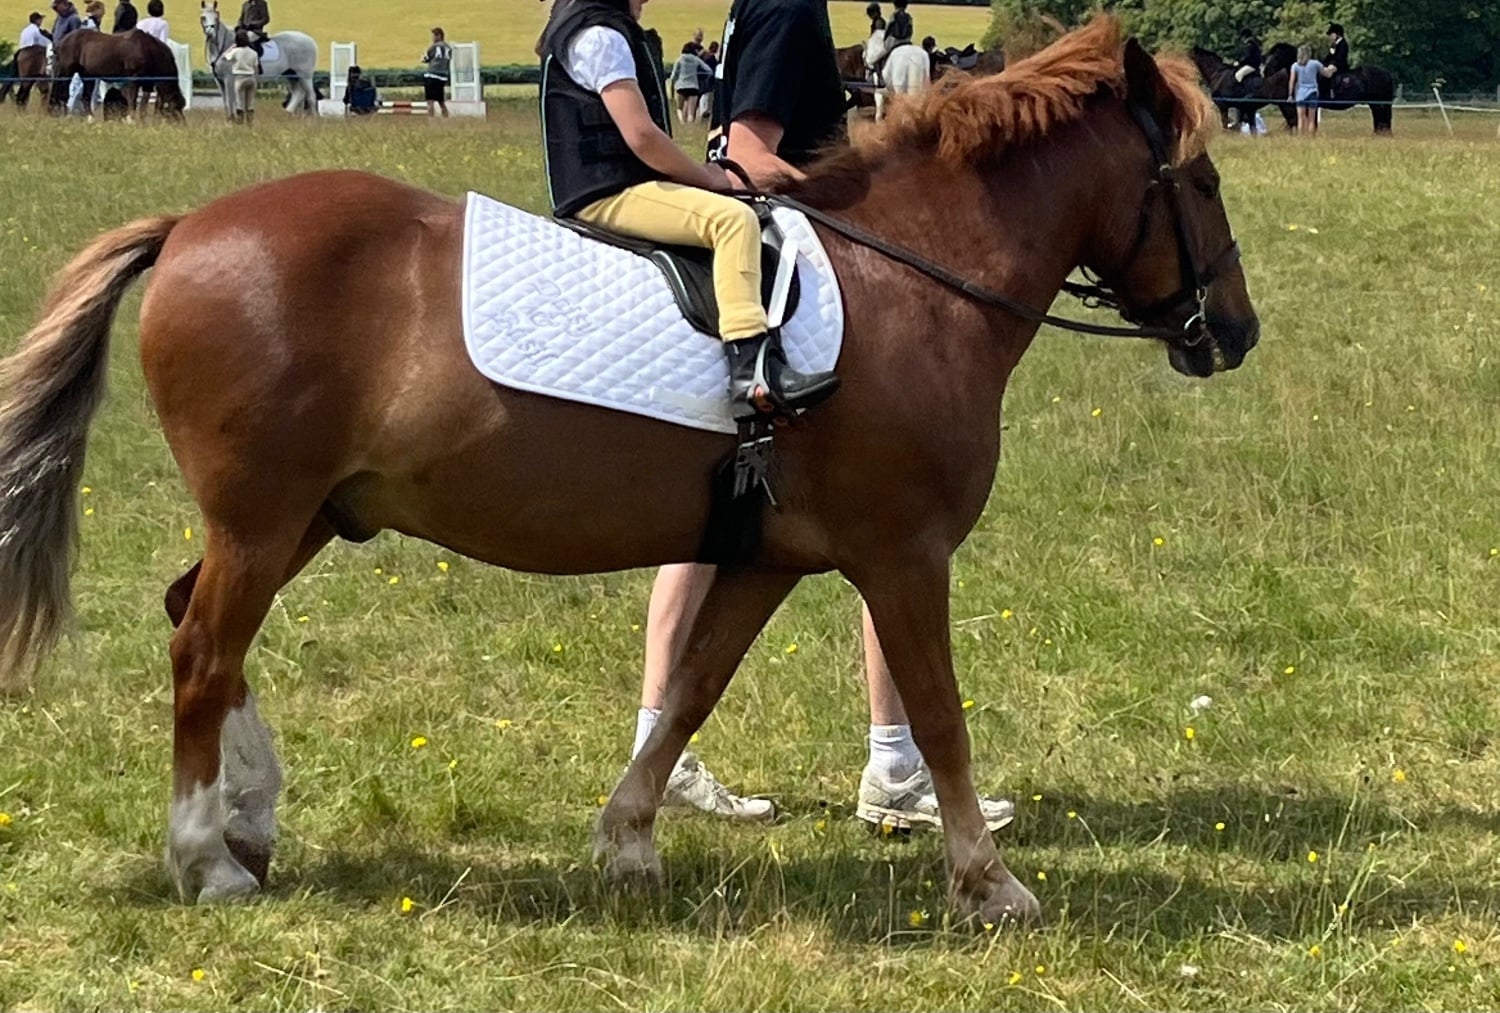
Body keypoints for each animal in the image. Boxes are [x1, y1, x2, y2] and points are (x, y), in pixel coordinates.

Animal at [47, 29, 186, 120]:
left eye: (181, 107)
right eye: (175, 109)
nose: (183, 127)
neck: (148, 50)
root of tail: (62, 41)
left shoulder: (148, 84)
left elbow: (144, 105)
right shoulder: (133, 80)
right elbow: (132, 101)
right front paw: (131, 120)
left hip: (87, 76)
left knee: (85, 97)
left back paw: (90, 119)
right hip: (66, 72)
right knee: (62, 94)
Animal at [1261, 42, 1394, 134]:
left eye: (1276, 55)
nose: (1265, 71)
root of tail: (1387, 73)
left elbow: (1311, 122)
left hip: (1379, 103)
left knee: (1382, 118)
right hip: (1375, 103)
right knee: (1380, 118)